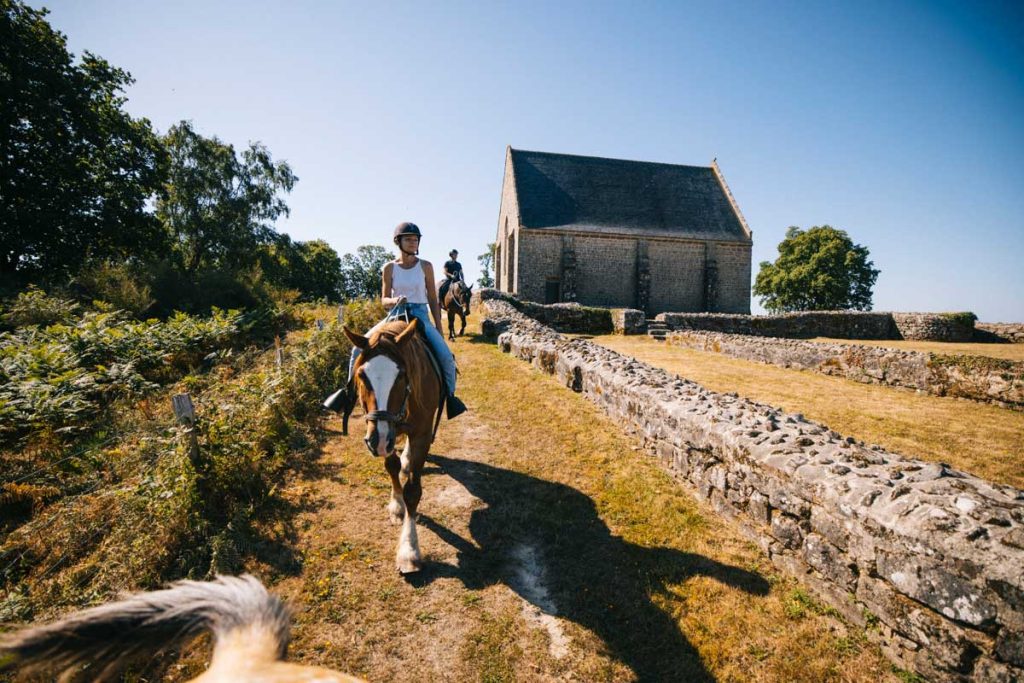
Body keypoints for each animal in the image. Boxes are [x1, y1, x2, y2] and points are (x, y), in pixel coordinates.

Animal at [343, 317, 443, 574]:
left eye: (401, 375)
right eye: (362, 375)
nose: (376, 441)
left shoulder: (421, 434)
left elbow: (413, 491)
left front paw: (409, 550)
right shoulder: (384, 435)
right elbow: (392, 467)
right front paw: (396, 505)